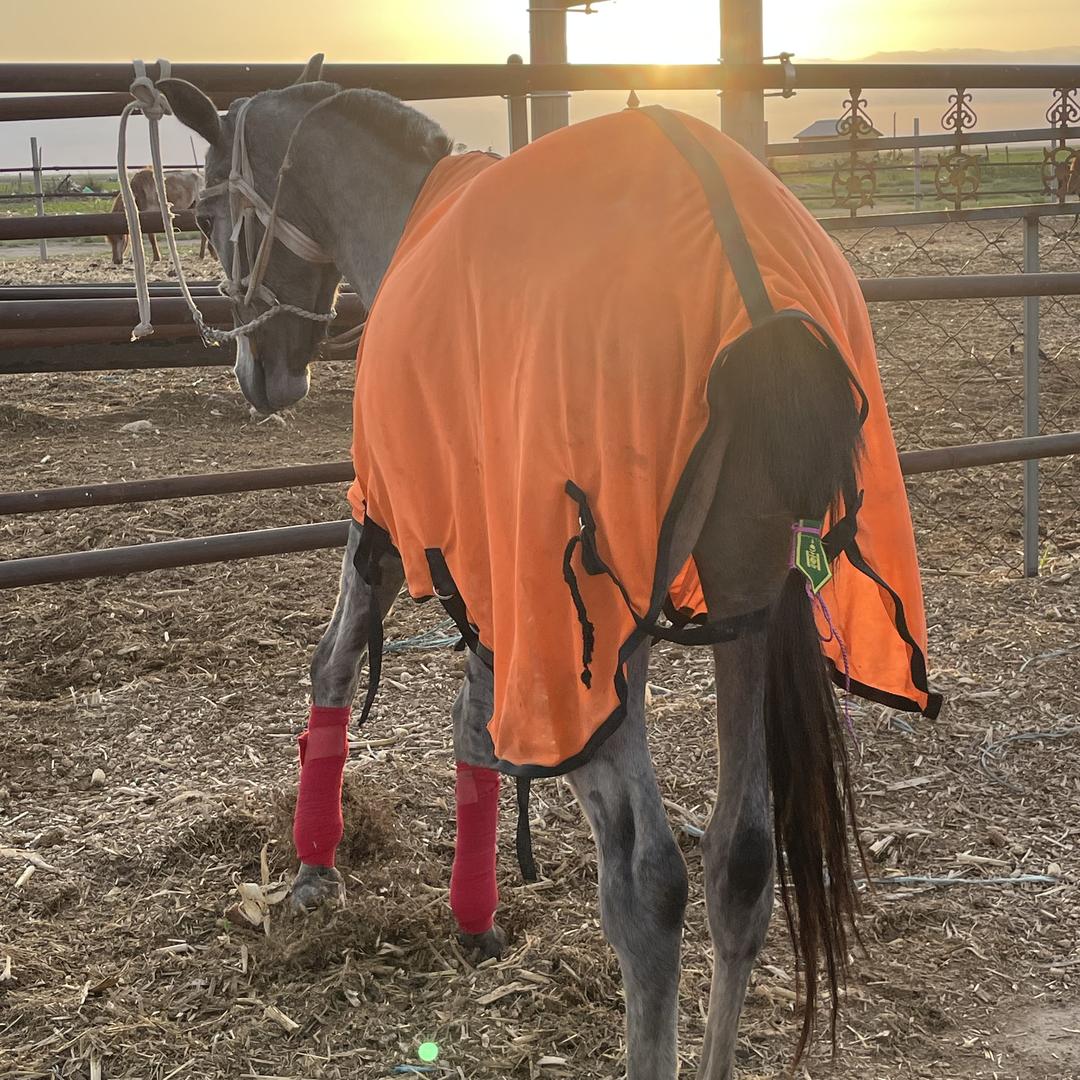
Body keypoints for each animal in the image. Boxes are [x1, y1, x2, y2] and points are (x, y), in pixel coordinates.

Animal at [160, 58, 938, 1078]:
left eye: (208, 215)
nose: (260, 374)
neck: (412, 212)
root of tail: (758, 295)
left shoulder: (390, 524)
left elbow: (336, 663)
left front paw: (316, 869)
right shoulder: (495, 578)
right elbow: (476, 721)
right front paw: (474, 913)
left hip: (604, 640)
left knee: (649, 885)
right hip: (748, 596)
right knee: (741, 860)